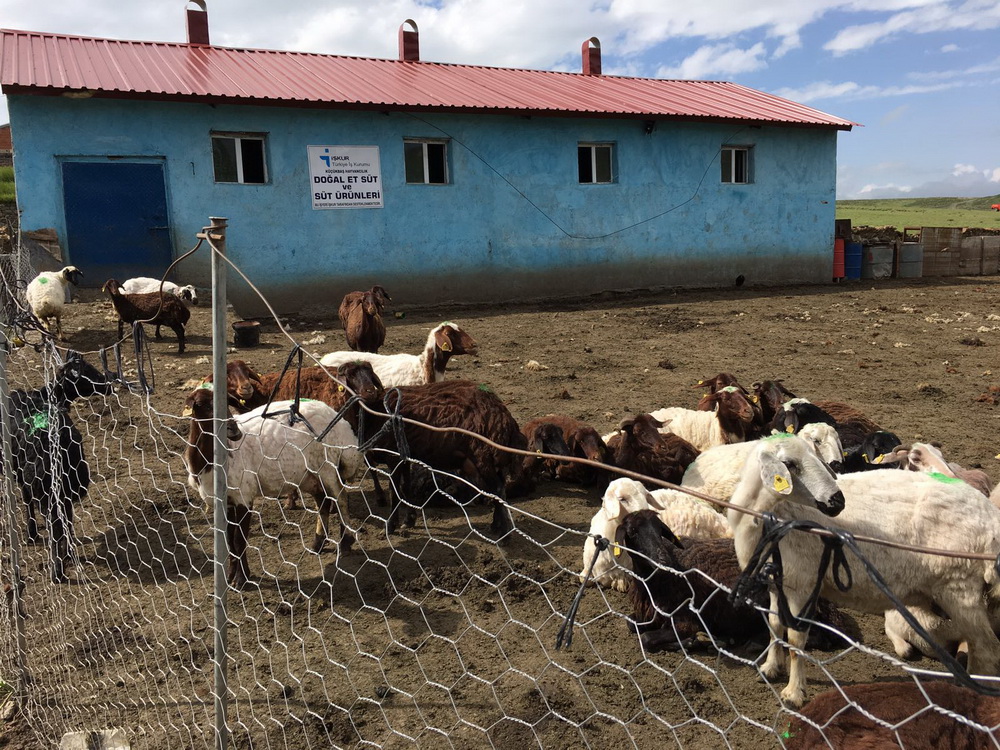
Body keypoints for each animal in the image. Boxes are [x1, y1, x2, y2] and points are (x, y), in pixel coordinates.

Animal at [182, 388, 366, 592]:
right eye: (202, 405)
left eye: (227, 403)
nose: (234, 431)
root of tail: (336, 417)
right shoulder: (226, 501)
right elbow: (230, 540)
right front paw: (231, 576)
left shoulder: (244, 495)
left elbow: (239, 540)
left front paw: (241, 578)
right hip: (309, 474)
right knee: (323, 501)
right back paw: (318, 543)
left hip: (328, 466)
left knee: (341, 498)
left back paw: (345, 542)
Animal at [728, 434, 1000, 712]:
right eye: (789, 464)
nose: (838, 501)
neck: (773, 515)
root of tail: (990, 517)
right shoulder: (776, 582)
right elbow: (773, 626)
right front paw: (770, 668)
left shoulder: (802, 585)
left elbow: (795, 640)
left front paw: (793, 693)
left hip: (959, 587)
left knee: (986, 647)